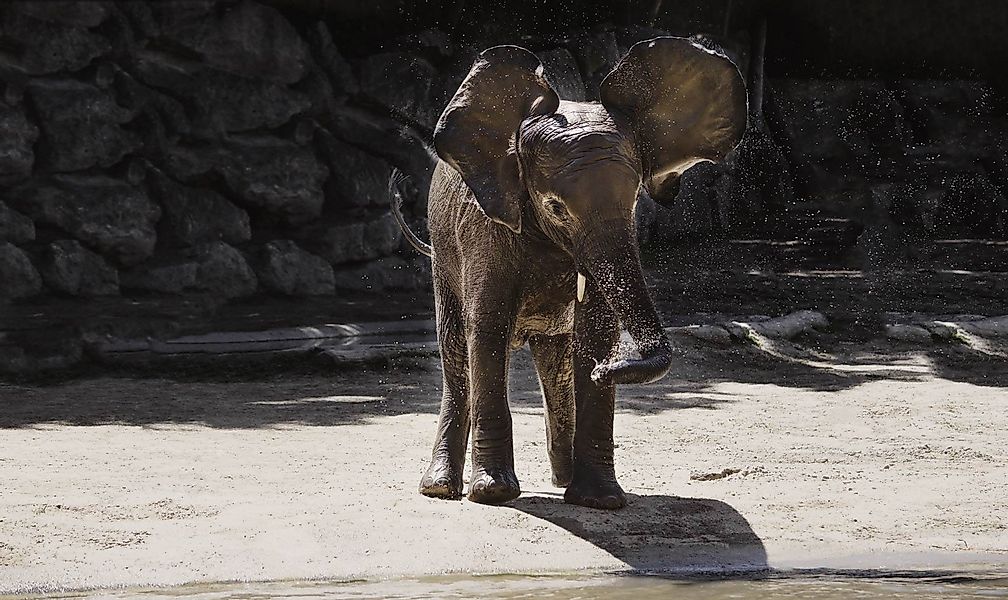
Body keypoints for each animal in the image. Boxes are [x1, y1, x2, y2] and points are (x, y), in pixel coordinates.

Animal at [393, 37, 749, 510]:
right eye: (556, 208)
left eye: (635, 202)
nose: (611, 368)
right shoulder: (483, 231)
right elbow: (486, 328)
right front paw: (494, 494)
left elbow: (593, 332)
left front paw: (599, 500)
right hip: (443, 256)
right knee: (455, 352)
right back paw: (439, 489)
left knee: (556, 362)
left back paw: (562, 480)